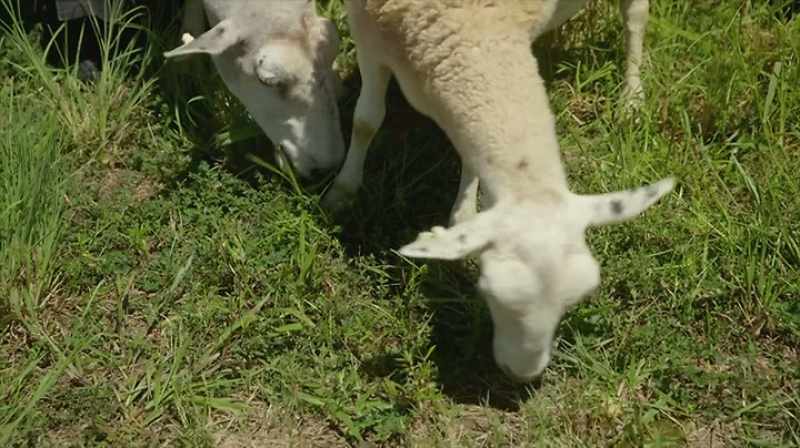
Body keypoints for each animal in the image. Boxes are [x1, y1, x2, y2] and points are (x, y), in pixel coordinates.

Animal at [328, 0, 674, 381]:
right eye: (487, 291)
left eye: (572, 301)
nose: (521, 374)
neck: (471, 20)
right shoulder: (366, 34)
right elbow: (366, 120)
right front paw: (342, 191)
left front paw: (462, 214)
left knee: (636, 17)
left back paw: (631, 99)